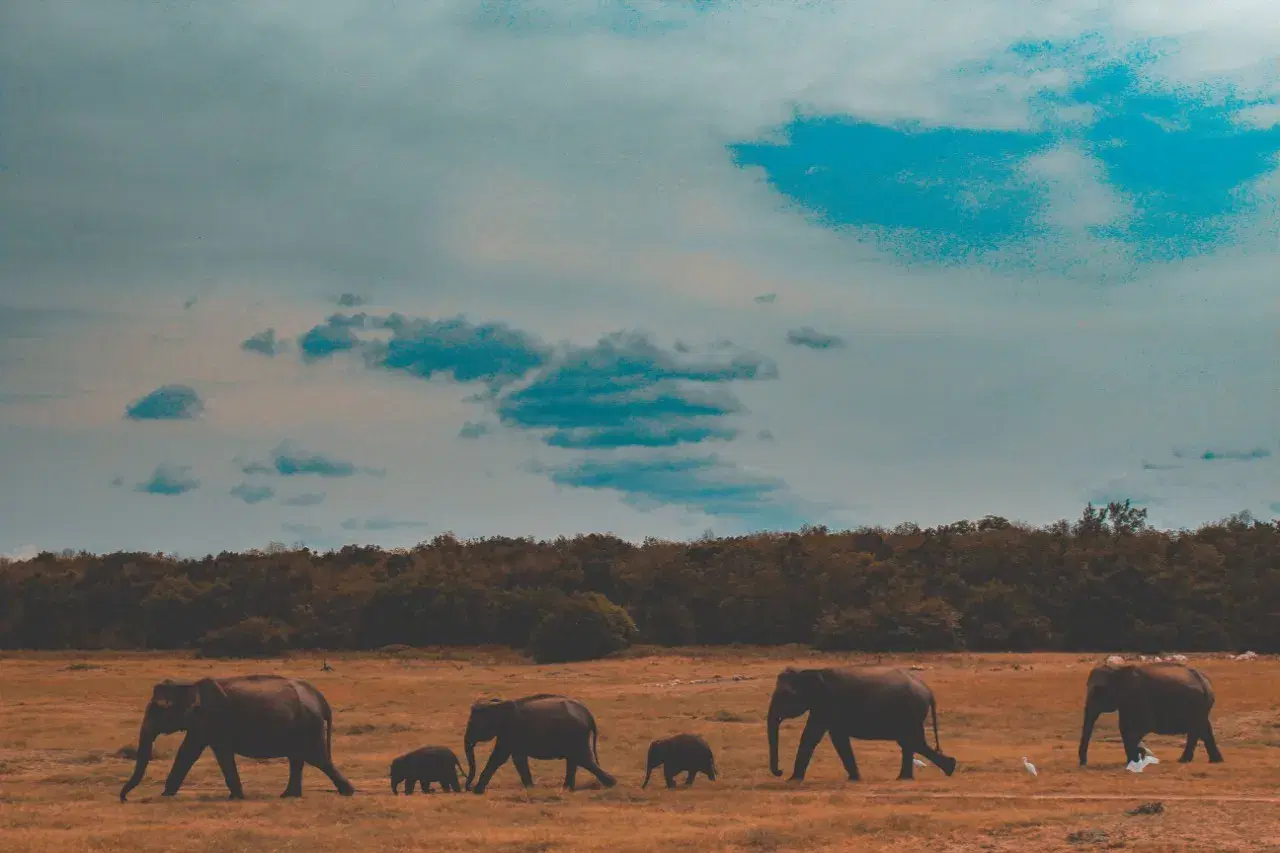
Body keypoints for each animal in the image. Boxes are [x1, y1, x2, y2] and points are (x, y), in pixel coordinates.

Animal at [119, 674, 355, 802]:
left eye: (158, 709)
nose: (123, 798)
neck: (189, 685)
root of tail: (320, 698)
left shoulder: (214, 718)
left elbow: (216, 753)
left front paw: (235, 797)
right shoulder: (203, 722)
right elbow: (188, 752)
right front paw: (166, 795)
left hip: (308, 724)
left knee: (318, 759)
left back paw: (348, 793)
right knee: (298, 759)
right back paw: (289, 795)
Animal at [464, 693, 617, 794]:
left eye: (472, 724)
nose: (468, 787)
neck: (496, 704)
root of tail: (588, 713)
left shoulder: (511, 731)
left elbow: (500, 757)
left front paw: (477, 791)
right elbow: (514, 758)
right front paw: (531, 789)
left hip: (576, 734)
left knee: (583, 758)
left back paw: (611, 784)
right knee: (575, 759)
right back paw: (568, 789)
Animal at [767, 665, 958, 782]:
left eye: (785, 695)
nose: (780, 772)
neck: (811, 671)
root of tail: (928, 691)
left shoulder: (827, 704)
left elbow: (813, 736)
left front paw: (793, 779)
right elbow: (836, 738)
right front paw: (854, 778)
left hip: (910, 712)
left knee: (913, 741)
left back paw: (949, 767)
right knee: (909, 743)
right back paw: (908, 777)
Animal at [1078, 661, 1223, 767]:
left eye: (1098, 690)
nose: (1083, 763)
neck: (1119, 669)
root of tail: (1205, 682)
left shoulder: (1138, 698)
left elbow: (1136, 728)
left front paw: (1137, 757)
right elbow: (1125, 728)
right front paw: (1137, 756)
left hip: (1197, 704)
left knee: (1198, 728)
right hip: (1200, 705)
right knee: (1201, 728)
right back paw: (1207, 760)